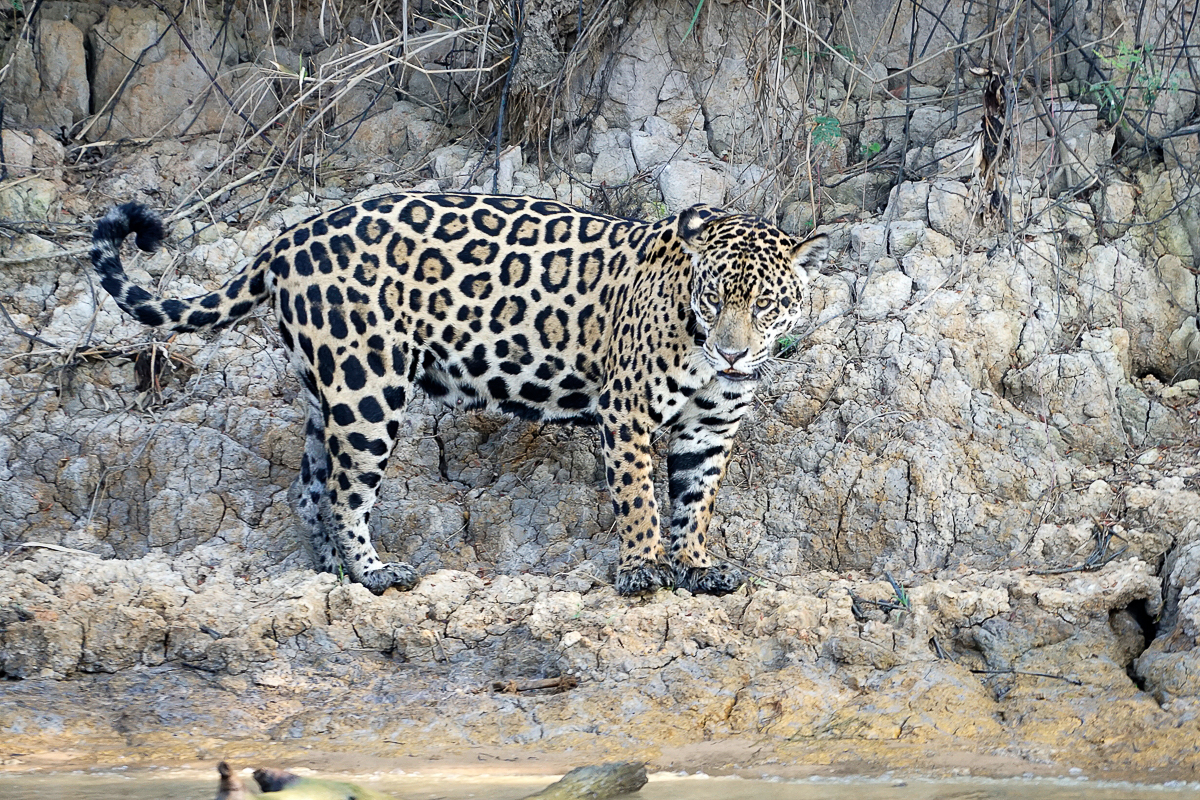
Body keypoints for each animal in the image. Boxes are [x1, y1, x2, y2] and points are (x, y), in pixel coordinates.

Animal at [91, 192, 828, 597]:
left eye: (764, 304)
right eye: (713, 298)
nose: (732, 352)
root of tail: (288, 236)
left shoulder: (711, 430)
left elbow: (696, 503)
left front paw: (699, 568)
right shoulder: (627, 413)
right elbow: (641, 499)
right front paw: (644, 570)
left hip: (324, 390)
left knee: (309, 486)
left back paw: (333, 573)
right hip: (367, 386)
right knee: (347, 489)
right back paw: (375, 574)